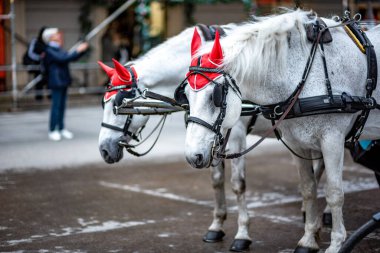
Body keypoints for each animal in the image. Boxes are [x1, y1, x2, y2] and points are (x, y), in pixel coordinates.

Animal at [183, 10, 380, 253]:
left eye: (215, 96)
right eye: (185, 94)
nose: (193, 156)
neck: (304, 73)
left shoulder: (332, 140)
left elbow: (334, 193)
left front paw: (335, 244)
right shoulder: (297, 143)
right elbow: (308, 189)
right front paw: (308, 239)